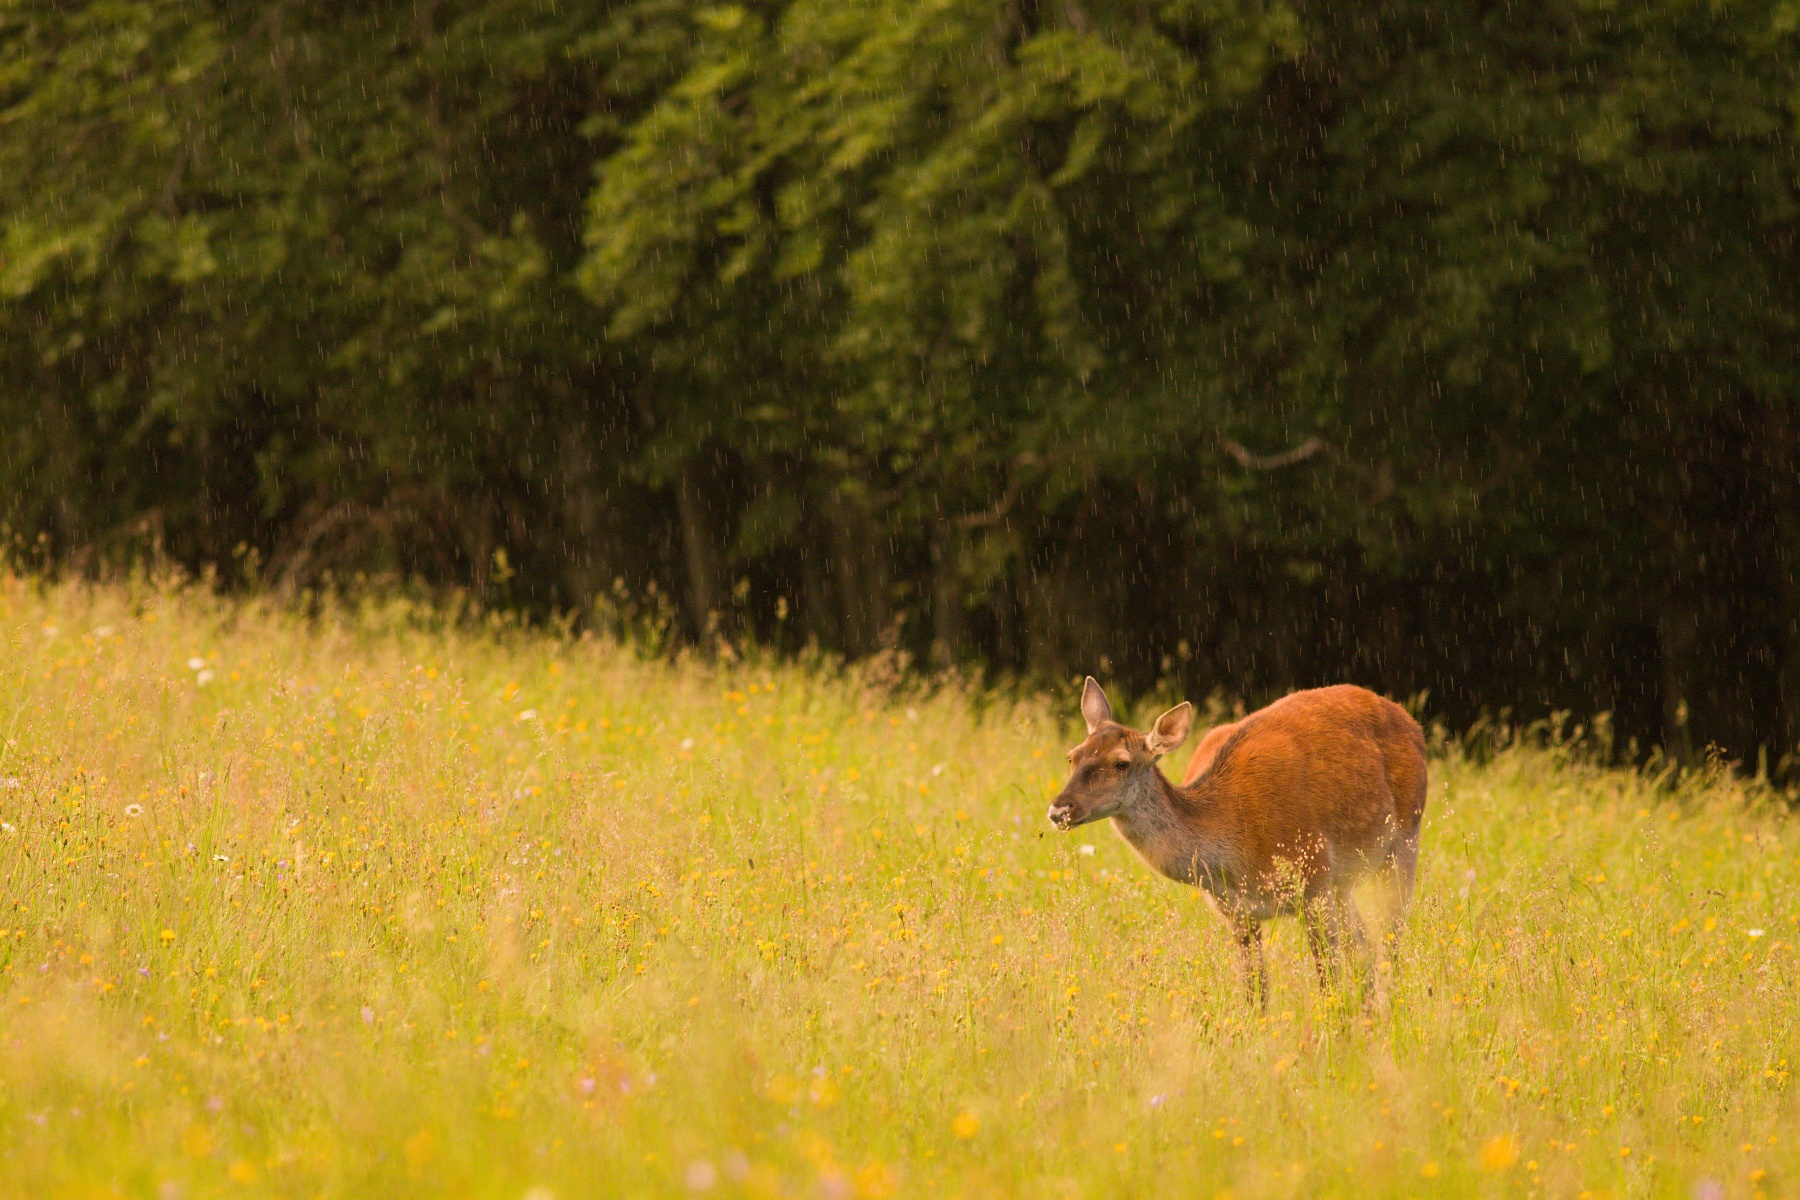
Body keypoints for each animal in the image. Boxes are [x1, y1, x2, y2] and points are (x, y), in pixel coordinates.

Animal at [1051, 676, 1425, 1007]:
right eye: (1072, 756)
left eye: (1121, 763)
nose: (1059, 809)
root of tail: (1407, 718)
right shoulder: (1235, 909)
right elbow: (1255, 988)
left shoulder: (1313, 875)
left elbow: (1327, 976)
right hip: (1344, 882)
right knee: (1365, 947)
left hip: (1405, 837)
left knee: (1390, 941)